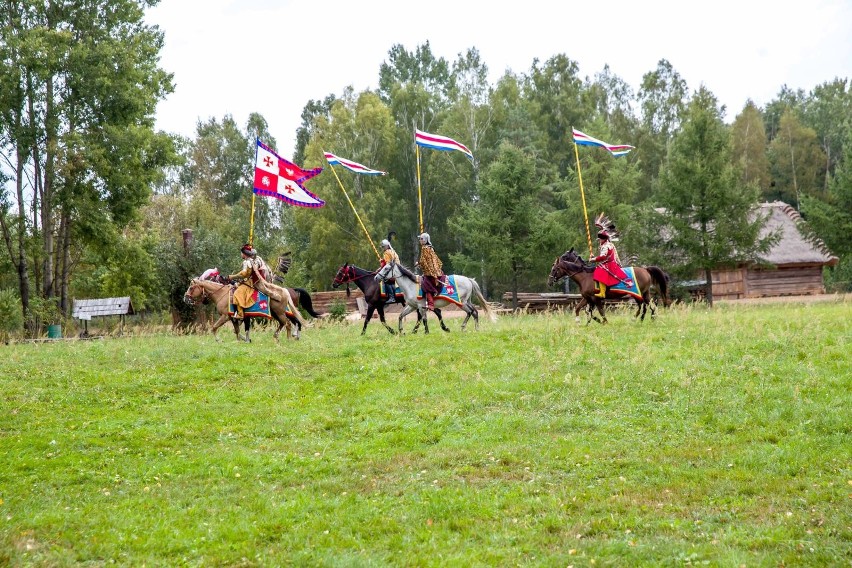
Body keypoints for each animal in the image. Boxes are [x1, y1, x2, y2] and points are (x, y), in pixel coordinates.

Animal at [544, 248, 672, 324]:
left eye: (554, 269)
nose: (549, 281)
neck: (585, 276)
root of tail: (645, 269)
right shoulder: (587, 298)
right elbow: (580, 309)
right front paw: (581, 322)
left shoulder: (595, 299)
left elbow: (600, 312)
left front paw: (603, 322)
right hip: (643, 293)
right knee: (648, 305)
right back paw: (645, 318)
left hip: (639, 294)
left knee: (645, 305)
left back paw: (640, 318)